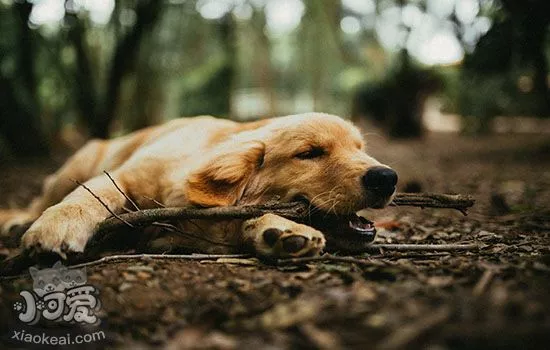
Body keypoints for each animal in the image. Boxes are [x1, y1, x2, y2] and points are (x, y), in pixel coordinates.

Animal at [0, 113, 396, 258]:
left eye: (360, 149)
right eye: (310, 153)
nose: (386, 178)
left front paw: (278, 229)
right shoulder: (125, 175)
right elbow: (90, 197)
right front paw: (58, 225)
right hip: (78, 162)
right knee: (41, 199)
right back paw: (19, 220)